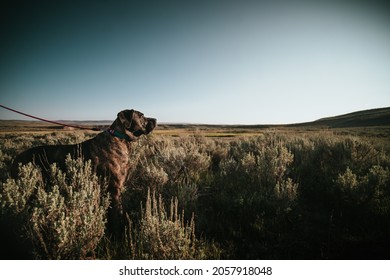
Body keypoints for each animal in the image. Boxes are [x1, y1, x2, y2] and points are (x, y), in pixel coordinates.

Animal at [10, 108, 157, 231]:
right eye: (141, 115)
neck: (119, 138)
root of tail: (16, 159)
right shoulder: (115, 188)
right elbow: (117, 214)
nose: (155, 119)